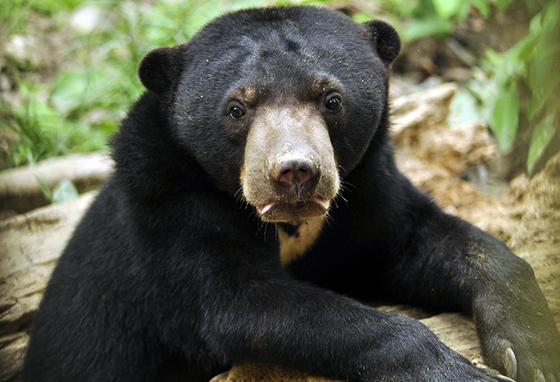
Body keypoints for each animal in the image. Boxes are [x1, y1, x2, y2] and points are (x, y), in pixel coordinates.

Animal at [23, 5, 560, 382]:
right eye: (237, 109)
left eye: (332, 100)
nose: (295, 172)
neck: (290, 222)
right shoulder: (169, 211)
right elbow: (240, 303)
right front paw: (457, 371)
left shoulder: (370, 189)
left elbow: (441, 244)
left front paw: (533, 351)